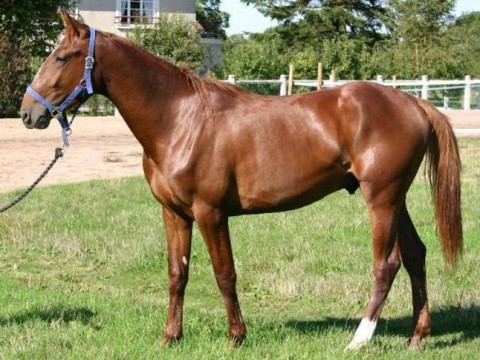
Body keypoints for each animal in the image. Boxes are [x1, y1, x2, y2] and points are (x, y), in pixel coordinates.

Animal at [20, 11, 464, 348]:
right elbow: (177, 274)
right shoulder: (174, 214)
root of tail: (414, 103)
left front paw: (236, 336)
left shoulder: (211, 213)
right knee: (416, 256)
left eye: (62, 57)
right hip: (397, 200)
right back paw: (416, 336)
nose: (28, 113)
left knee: (386, 264)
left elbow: (224, 273)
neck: (179, 119)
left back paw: (359, 339)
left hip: (381, 200)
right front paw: (170, 337)